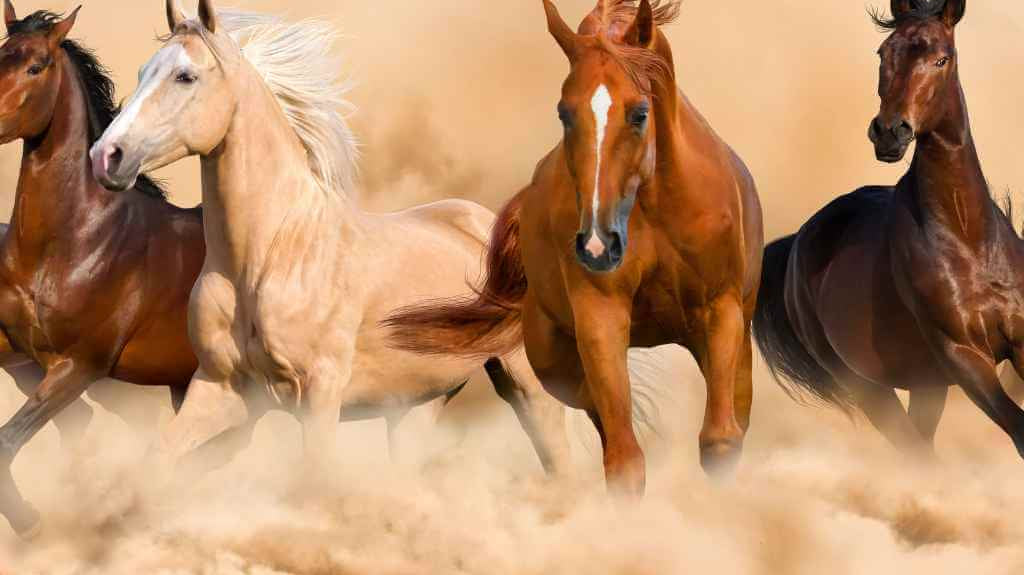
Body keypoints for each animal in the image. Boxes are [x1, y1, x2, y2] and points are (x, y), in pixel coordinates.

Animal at [90, 0, 570, 482]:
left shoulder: (319, 393)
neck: (267, 259)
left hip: (525, 382)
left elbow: (315, 477)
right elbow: (156, 461)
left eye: (185, 76)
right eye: (143, 71)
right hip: (417, 405)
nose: (106, 156)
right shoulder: (220, 389)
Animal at [384, 0, 764, 494]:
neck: (657, 206)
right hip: (554, 361)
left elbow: (720, 440)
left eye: (640, 113)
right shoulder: (600, 315)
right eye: (565, 113)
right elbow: (624, 459)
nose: (598, 244)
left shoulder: (719, 312)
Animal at [753, 0, 1024, 459]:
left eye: (942, 58)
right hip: (869, 388)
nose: (889, 133)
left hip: (926, 385)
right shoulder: (963, 355)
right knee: (914, 451)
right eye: (883, 53)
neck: (969, 237)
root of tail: (796, 243)